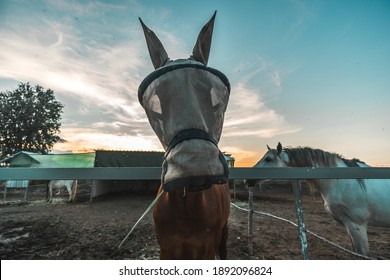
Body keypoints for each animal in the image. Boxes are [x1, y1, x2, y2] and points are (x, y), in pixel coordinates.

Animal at [139, 12, 232, 260]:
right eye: (156, 101)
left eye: (216, 97)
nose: (194, 163)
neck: (186, 207)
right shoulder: (166, 250)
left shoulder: (207, 250)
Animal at [251, 143, 388, 258]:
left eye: (268, 159)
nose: (248, 180)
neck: (340, 181)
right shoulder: (349, 226)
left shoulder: (357, 225)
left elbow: (363, 255)